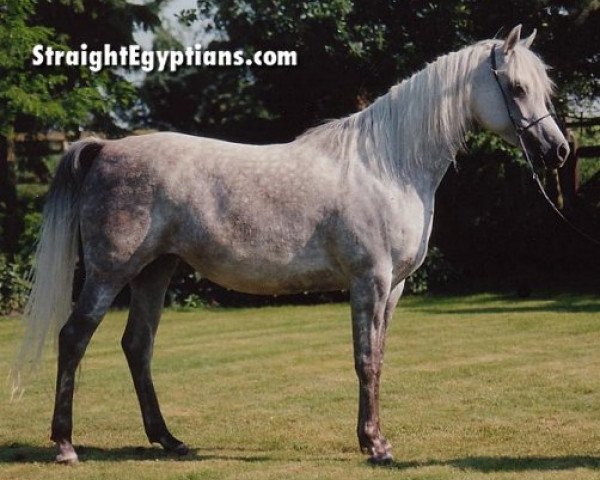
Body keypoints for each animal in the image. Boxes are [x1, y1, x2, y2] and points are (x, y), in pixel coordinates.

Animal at [12, 24, 568, 464]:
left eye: (542, 88)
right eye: (516, 87)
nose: (558, 150)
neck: (387, 164)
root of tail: (105, 148)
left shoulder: (393, 289)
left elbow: (379, 359)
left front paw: (377, 439)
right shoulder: (369, 282)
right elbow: (364, 360)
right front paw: (376, 447)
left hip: (156, 271)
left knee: (137, 345)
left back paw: (169, 440)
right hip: (110, 273)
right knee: (74, 338)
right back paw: (66, 446)